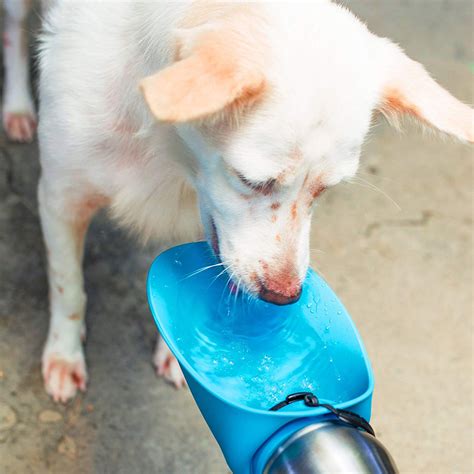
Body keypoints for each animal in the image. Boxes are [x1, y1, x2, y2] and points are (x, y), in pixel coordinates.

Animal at [35, 0, 472, 404]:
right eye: (252, 181)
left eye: (325, 189)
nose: (284, 297)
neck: (170, 150)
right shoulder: (60, 197)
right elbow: (67, 286)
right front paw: (65, 355)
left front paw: (180, 355)